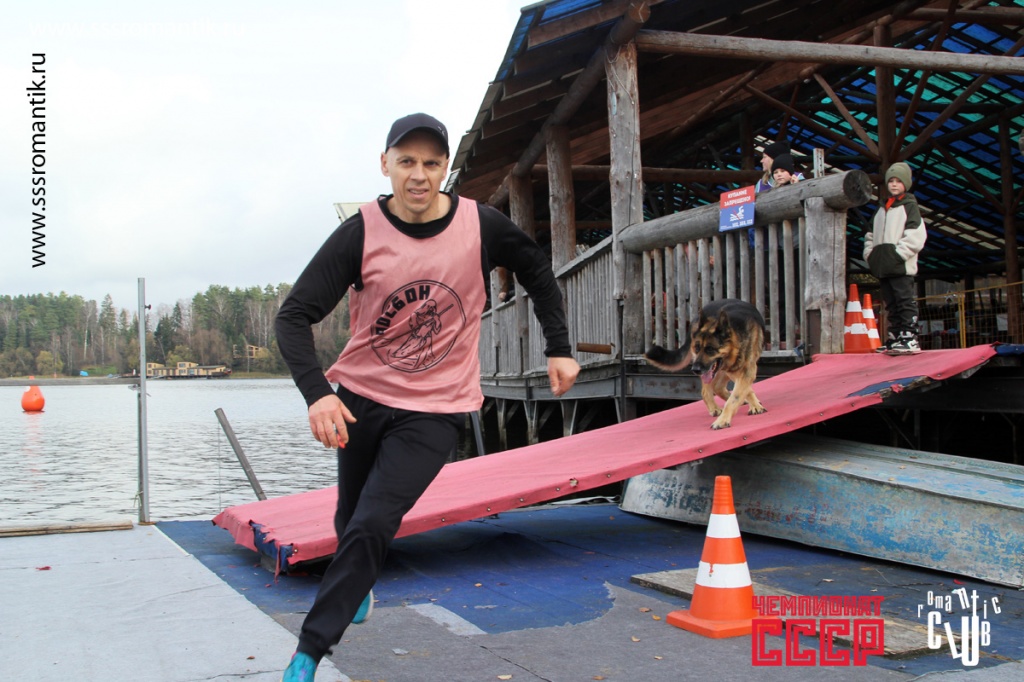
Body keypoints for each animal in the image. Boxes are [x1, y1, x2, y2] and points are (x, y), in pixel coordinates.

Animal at [644, 298, 767, 430]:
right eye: (697, 348)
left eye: (710, 349)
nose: (695, 369)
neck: (735, 343)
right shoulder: (737, 371)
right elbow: (738, 394)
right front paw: (724, 419)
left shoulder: (745, 370)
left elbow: (737, 395)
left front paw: (752, 406)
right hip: (718, 371)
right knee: (708, 389)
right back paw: (715, 408)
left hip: (722, 370)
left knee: (718, 386)